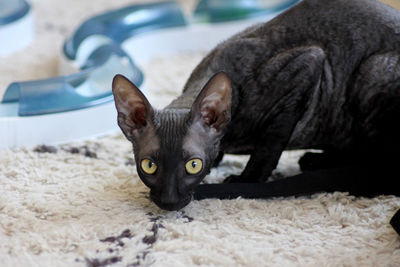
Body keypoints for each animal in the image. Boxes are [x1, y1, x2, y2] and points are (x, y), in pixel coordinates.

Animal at [111, 0, 400, 214]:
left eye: (193, 165)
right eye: (149, 166)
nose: (169, 202)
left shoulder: (308, 65)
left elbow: (268, 147)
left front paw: (245, 179)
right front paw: (218, 158)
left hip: (371, 71)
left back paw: (319, 161)